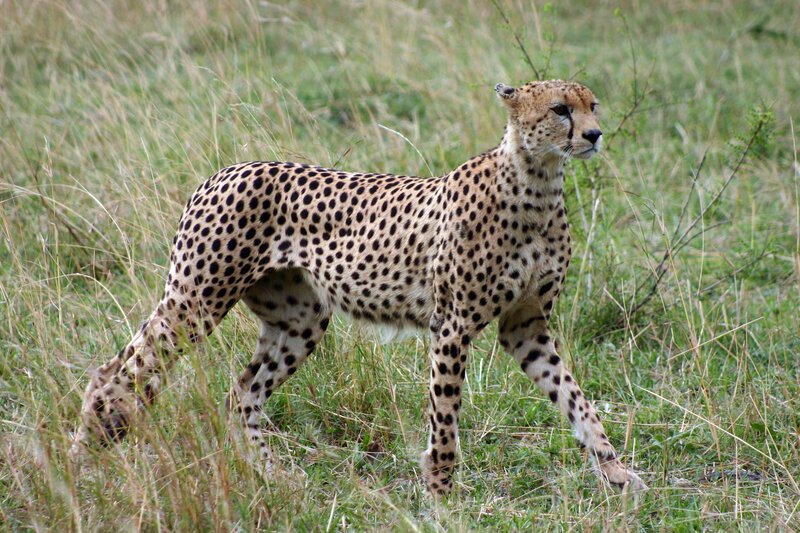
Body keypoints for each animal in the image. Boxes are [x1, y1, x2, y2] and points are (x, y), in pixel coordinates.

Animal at [71, 79, 647, 497]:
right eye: (561, 110)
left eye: (593, 105)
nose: (595, 134)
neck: (538, 182)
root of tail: (226, 169)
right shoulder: (452, 325)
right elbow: (445, 418)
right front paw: (441, 495)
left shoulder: (525, 326)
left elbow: (576, 400)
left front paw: (616, 473)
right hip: (196, 300)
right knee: (112, 374)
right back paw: (79, 461)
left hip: (300, 319)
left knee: (242, 395)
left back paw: (274, 478)